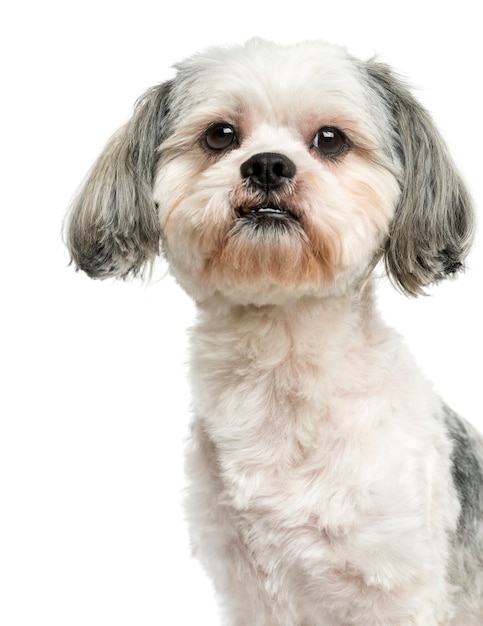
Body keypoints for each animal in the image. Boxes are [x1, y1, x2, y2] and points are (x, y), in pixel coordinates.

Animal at [65, 40, 483, 624]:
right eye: (220, 135)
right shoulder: (249, 588)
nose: (267, 164)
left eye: (330, 139)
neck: (281, 367)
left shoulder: (398, 586)